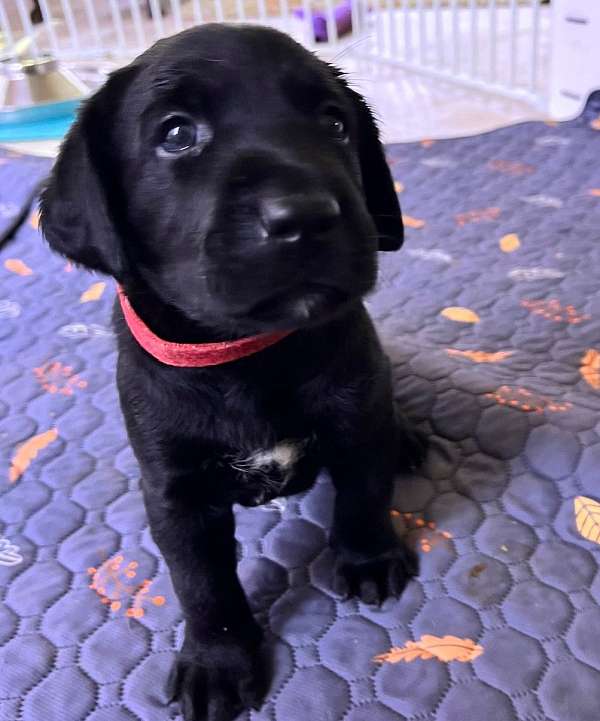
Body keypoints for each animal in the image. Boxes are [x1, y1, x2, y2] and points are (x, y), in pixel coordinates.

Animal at [39, 25, 424, 720]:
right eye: (176, 134)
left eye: (334, 124)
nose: (305, 214)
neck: (247, 355)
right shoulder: (176, 493)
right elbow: (202, 583)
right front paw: (217, 663)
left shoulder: (356, 421)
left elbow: (363, 494)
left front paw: (367, 558)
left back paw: (405, 437)